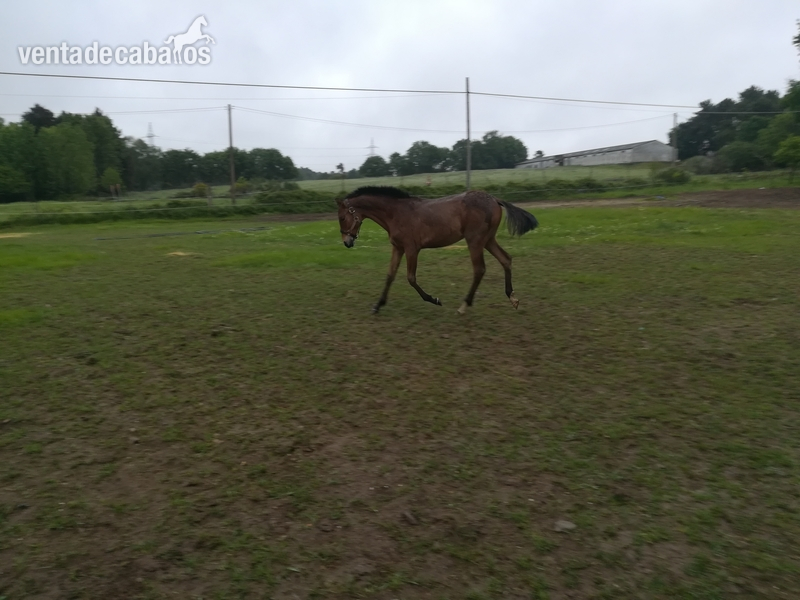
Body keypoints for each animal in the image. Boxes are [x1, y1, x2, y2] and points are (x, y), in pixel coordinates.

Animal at [336, 186, 538, 314]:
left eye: (342, 218)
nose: (347, 242)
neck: (396, 213)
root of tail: (494, 199)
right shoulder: (398, 248)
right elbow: (390, 275)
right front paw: (378, 306)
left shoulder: (411, 249)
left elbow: (411, 278)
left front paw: (434, 299)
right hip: (487, 240)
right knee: (506, 259)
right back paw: (512, 298)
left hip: (475, 240)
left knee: (480, 269)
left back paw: (464, 306)